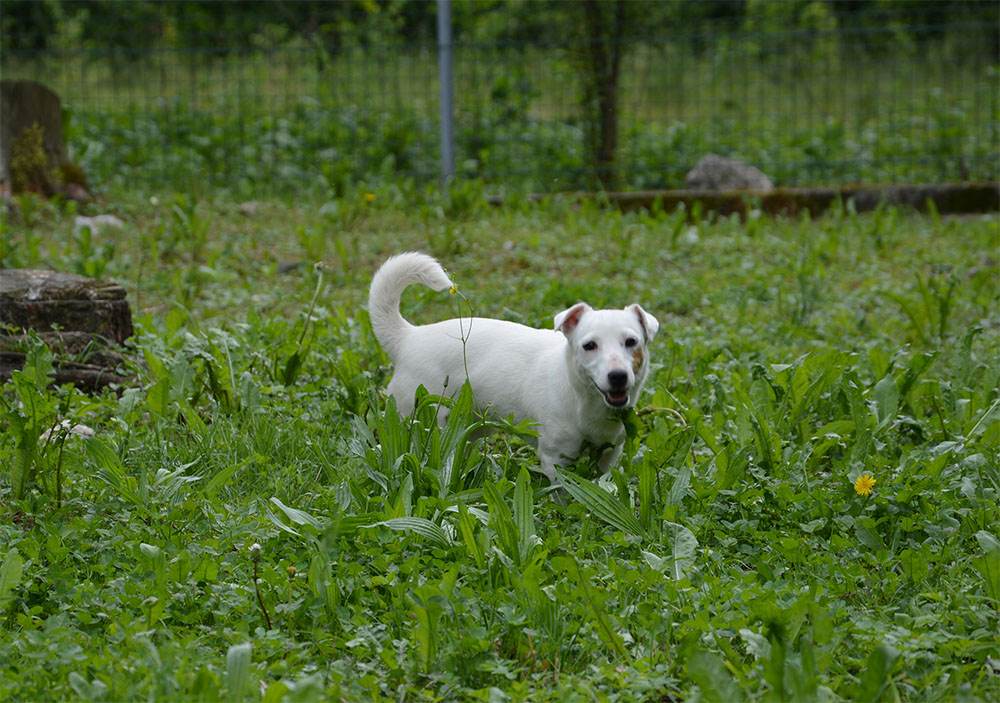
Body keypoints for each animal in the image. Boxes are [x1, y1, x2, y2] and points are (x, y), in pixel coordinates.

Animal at [368, 254, 656, 490]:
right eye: (589, 346)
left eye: (631, 342)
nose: (618, 376)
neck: (583, 399)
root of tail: (408, 337)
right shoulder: (554, 459)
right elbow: (562, 492)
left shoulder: (611, 454)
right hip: (423, 422)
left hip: (470, 426)